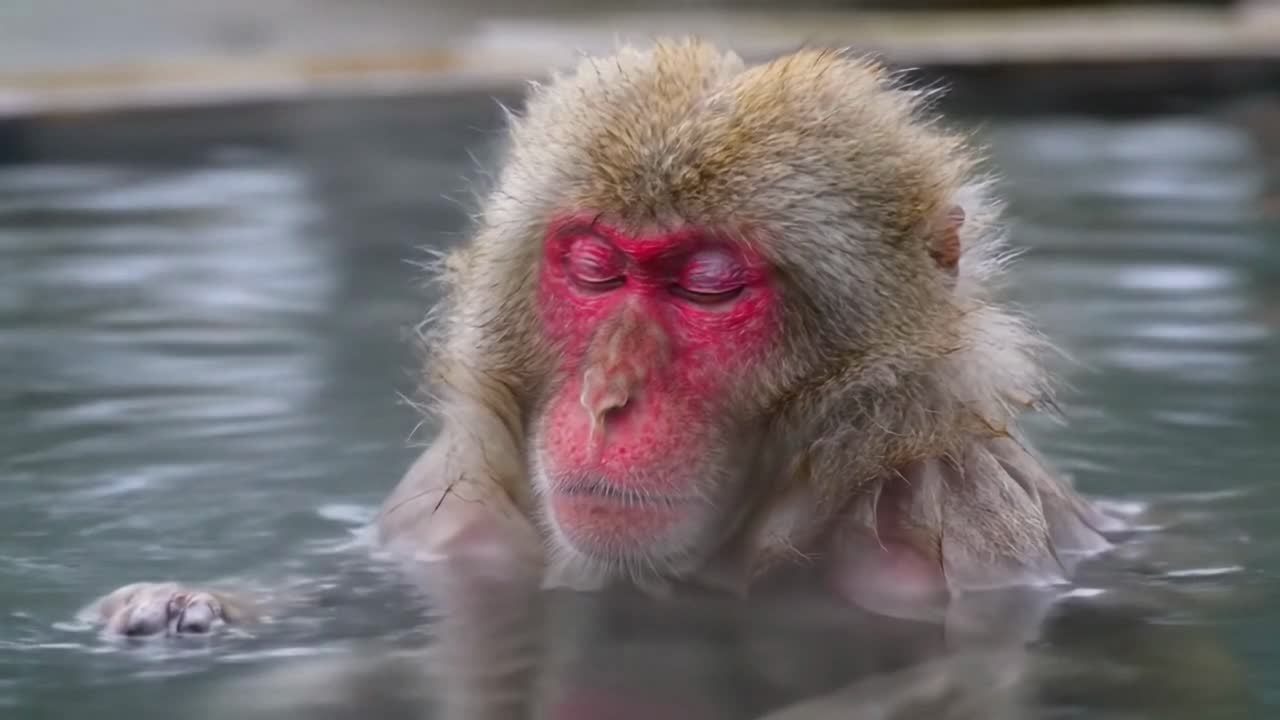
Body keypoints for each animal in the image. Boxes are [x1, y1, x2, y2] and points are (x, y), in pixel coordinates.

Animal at [80, 38, 1127, 638]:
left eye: (708, 285)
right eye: (594, 266)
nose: (607, 396)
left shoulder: (960, 548)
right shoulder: (454, 524)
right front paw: (187, 608)